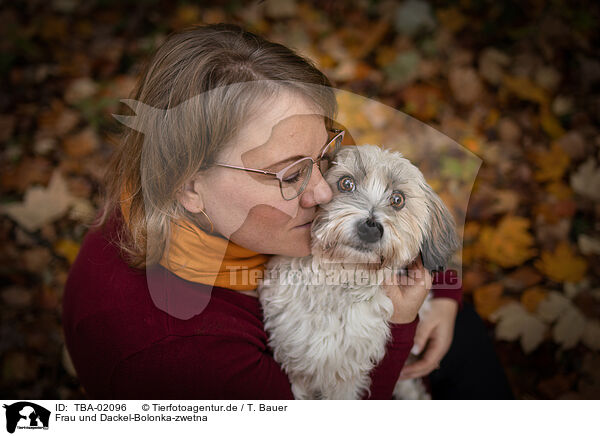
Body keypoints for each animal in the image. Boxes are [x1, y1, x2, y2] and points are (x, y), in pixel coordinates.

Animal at [258, 145, 460, 400]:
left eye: (397, 199)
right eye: (346, 183)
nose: (371, 227)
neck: (342, 275)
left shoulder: (346, 378)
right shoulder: (296, 362)